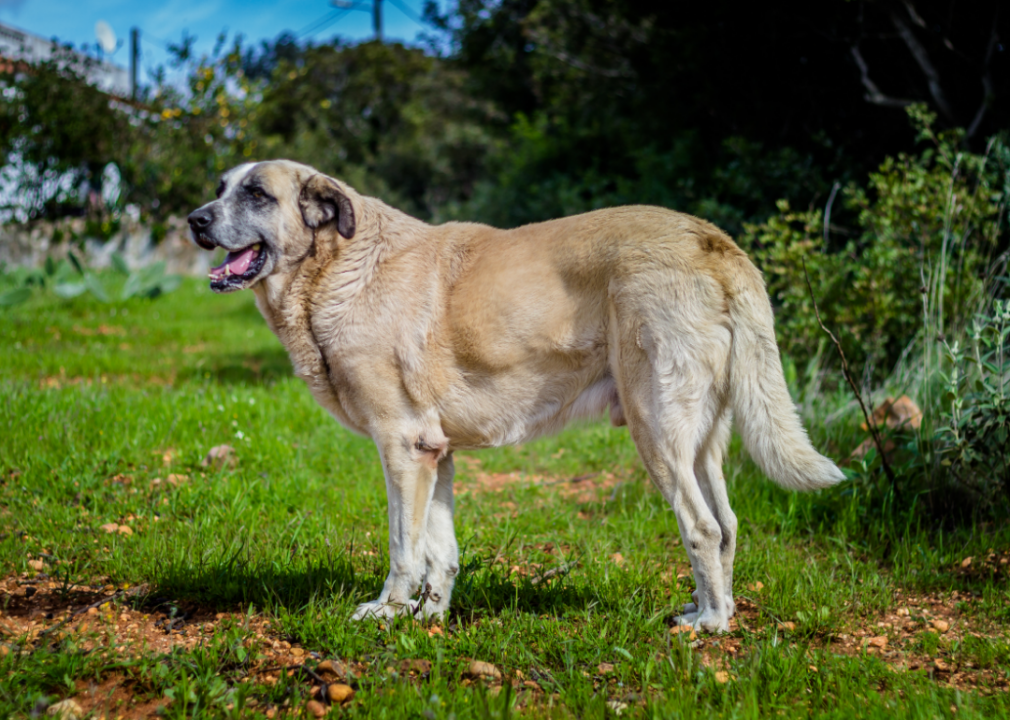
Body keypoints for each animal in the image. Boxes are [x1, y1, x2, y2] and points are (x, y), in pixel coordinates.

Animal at [189, 158, 844, 630]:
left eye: (256, 194)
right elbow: (439, 549)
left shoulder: (401, 448)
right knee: (727, 524)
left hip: (656, 430)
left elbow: (404, 547)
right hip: (702, 438)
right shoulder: (435, 454)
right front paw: (429, 618)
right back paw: (719, 610)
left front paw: (387, 613)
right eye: (221, 188)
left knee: (702, 527)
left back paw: (707, 624)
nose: (195, 219)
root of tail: (713, 239)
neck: (337, 266)